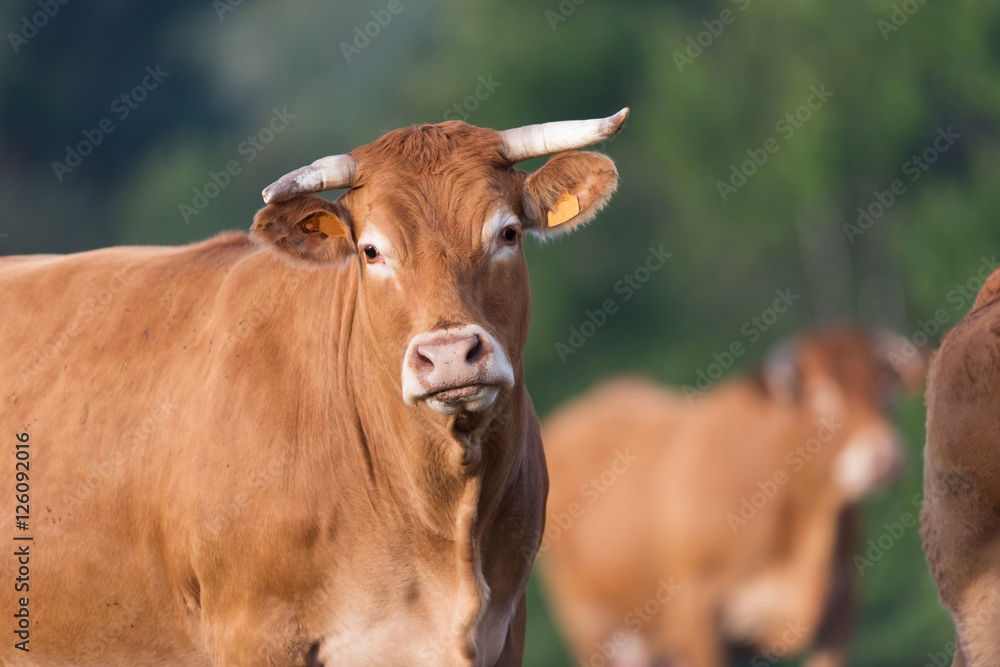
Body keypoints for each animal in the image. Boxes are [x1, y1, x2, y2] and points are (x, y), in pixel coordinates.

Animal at [540, 328, 920, 667]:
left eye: (888, 396)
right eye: (821, 399)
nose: (884, 457)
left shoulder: (842, 605)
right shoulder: (695, 611)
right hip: (588, 623)